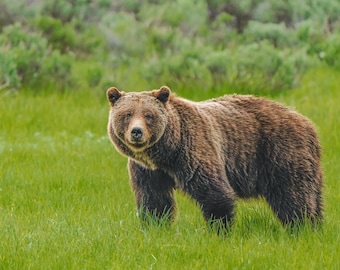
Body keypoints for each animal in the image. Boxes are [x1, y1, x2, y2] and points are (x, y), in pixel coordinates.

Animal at [105, 86, 322, 228]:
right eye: (127, 114)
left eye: (148, 115)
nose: (137, 132)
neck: (166, 153)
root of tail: (307, 122)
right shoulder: (147, 169)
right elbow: (153, 198)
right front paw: (155, 226)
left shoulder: (193, 150)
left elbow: (214, 192)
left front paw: (220, 228)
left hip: (280, 152)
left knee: (293, 195)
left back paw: (301, 226)